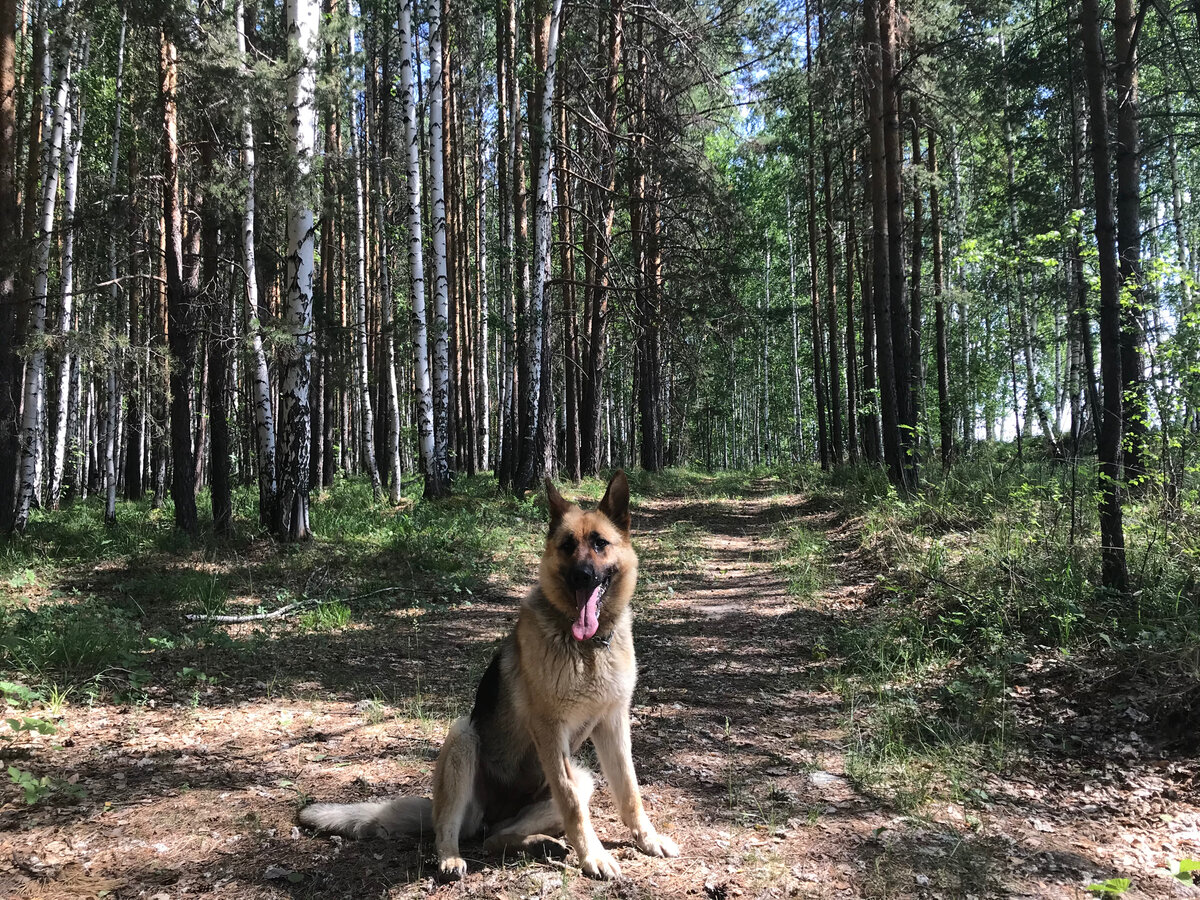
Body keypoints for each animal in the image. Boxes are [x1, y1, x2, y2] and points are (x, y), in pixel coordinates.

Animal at [296, 475, 681, 883]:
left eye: (600, 544)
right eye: (567, 546)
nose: (581, 576)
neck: (587, 646)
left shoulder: (612, 724)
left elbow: (629, 790)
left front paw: (647, 839)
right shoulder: (550, 729)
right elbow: (573, 805)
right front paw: (593, 855)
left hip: (582, 777)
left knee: (495, 838)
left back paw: (539, 844)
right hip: (463, 736)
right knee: (450, 830)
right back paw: (451, 858)